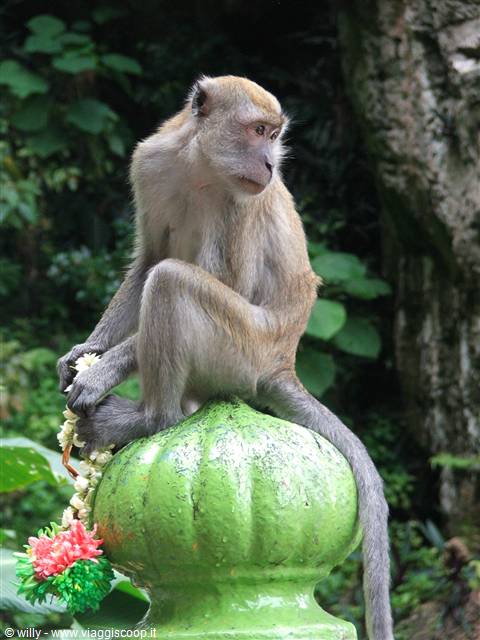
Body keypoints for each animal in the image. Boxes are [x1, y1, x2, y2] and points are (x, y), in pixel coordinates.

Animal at [57, 75, 393, 640]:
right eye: (258, 131)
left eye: (274, 135)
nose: (270, 165)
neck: (200, 166)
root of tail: (281, 363)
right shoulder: (149, 163)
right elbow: (147, 258)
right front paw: (87, 351)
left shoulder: (243, 205)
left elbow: (201, 278)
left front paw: (102, 371)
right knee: (164, 274)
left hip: (241, 348)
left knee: (172, 283)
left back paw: (150, 418)